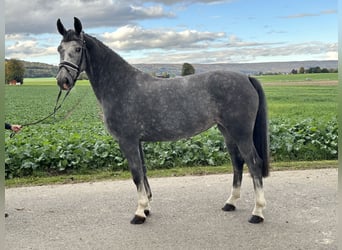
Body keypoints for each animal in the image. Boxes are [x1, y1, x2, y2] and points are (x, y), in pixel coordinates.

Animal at [56, 17, 270, 225]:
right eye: (59, 49)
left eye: (78, 49)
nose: (62, 81)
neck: (121, 85)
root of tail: (246, 78)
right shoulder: (137, 142)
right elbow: (143, 171)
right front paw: (146, 208)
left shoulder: (127, 141)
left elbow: (136, 174)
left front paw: (139, 213)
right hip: (227, 131)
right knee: (238, 162)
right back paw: (230, 203)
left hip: (241, 133)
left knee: (254, 163)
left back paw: (258, 212)